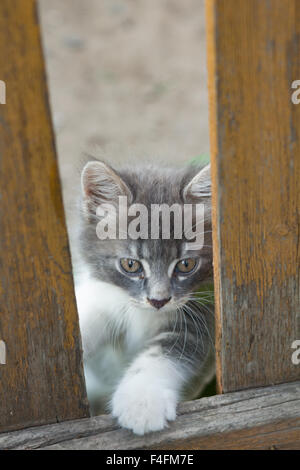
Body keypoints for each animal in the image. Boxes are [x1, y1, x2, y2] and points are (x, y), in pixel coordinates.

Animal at [75, 160, 216, 436]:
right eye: (131, 265)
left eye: (186, 265)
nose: (158, 300)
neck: (144, 315)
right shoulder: (102, 295)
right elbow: (85, 318)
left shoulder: (201, 317)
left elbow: (162, 356)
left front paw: (141, 402)